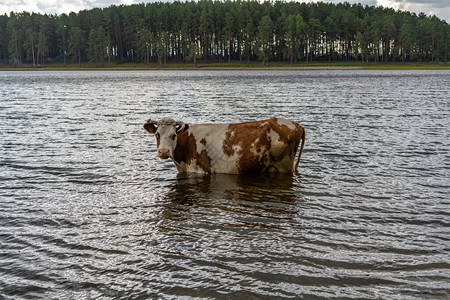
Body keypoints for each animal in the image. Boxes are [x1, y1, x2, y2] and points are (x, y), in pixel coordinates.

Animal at [144, 117, 306, 173]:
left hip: (284, 165)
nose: (164, 152)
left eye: (173, 135)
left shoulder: (198, 171)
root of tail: (295, 124)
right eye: (157, 134)